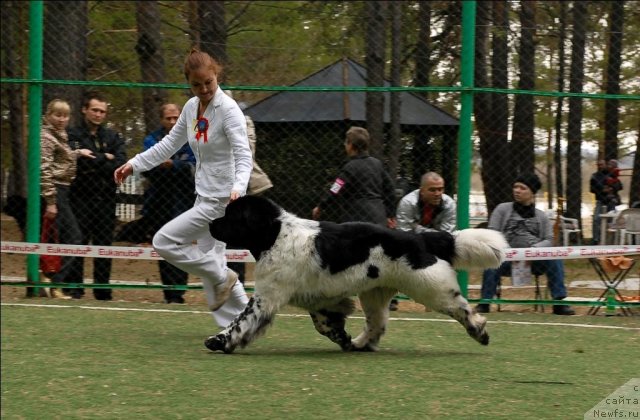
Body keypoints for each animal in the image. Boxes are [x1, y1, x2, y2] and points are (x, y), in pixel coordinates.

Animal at [205, 195, 504, 352]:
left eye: (232, 216)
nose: (210, 224)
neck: (275, 234)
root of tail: (419, 237)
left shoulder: (265, 297)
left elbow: (240, 322)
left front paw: (219, 341)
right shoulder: (317, 299)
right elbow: (324, 323)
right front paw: (343, 338)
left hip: (431, 288)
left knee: (461, 308)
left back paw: (479, 331)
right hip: (374, 294)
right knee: (377, 323)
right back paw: (362, 344)